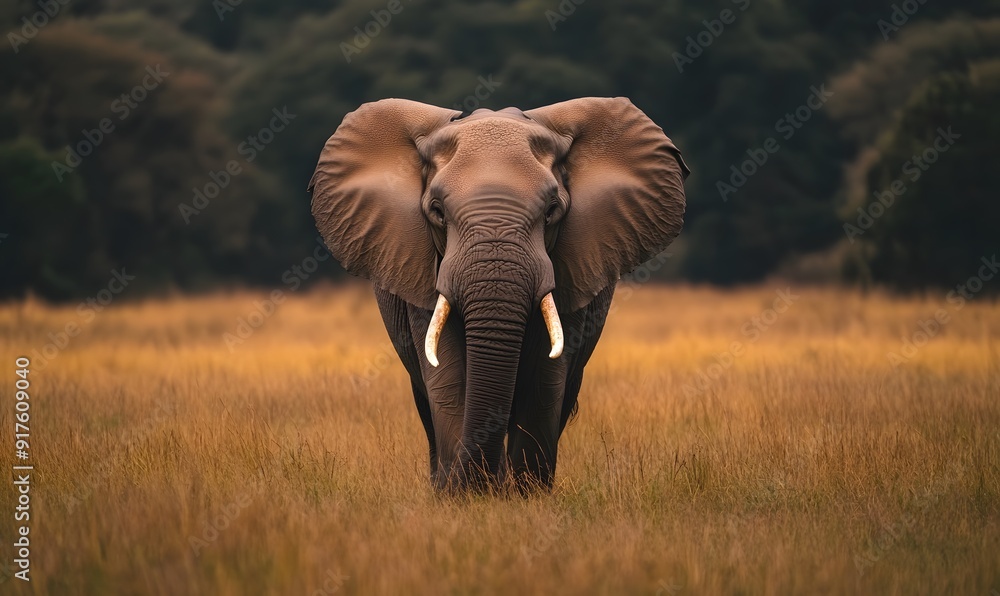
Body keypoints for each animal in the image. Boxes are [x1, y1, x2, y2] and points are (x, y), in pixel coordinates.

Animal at [308, 97, 689, 492]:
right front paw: (465, 495)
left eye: (552, 211)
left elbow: (544, 376)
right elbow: (447, 374)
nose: (482, 484)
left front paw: (526, 496)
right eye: (437, 212)